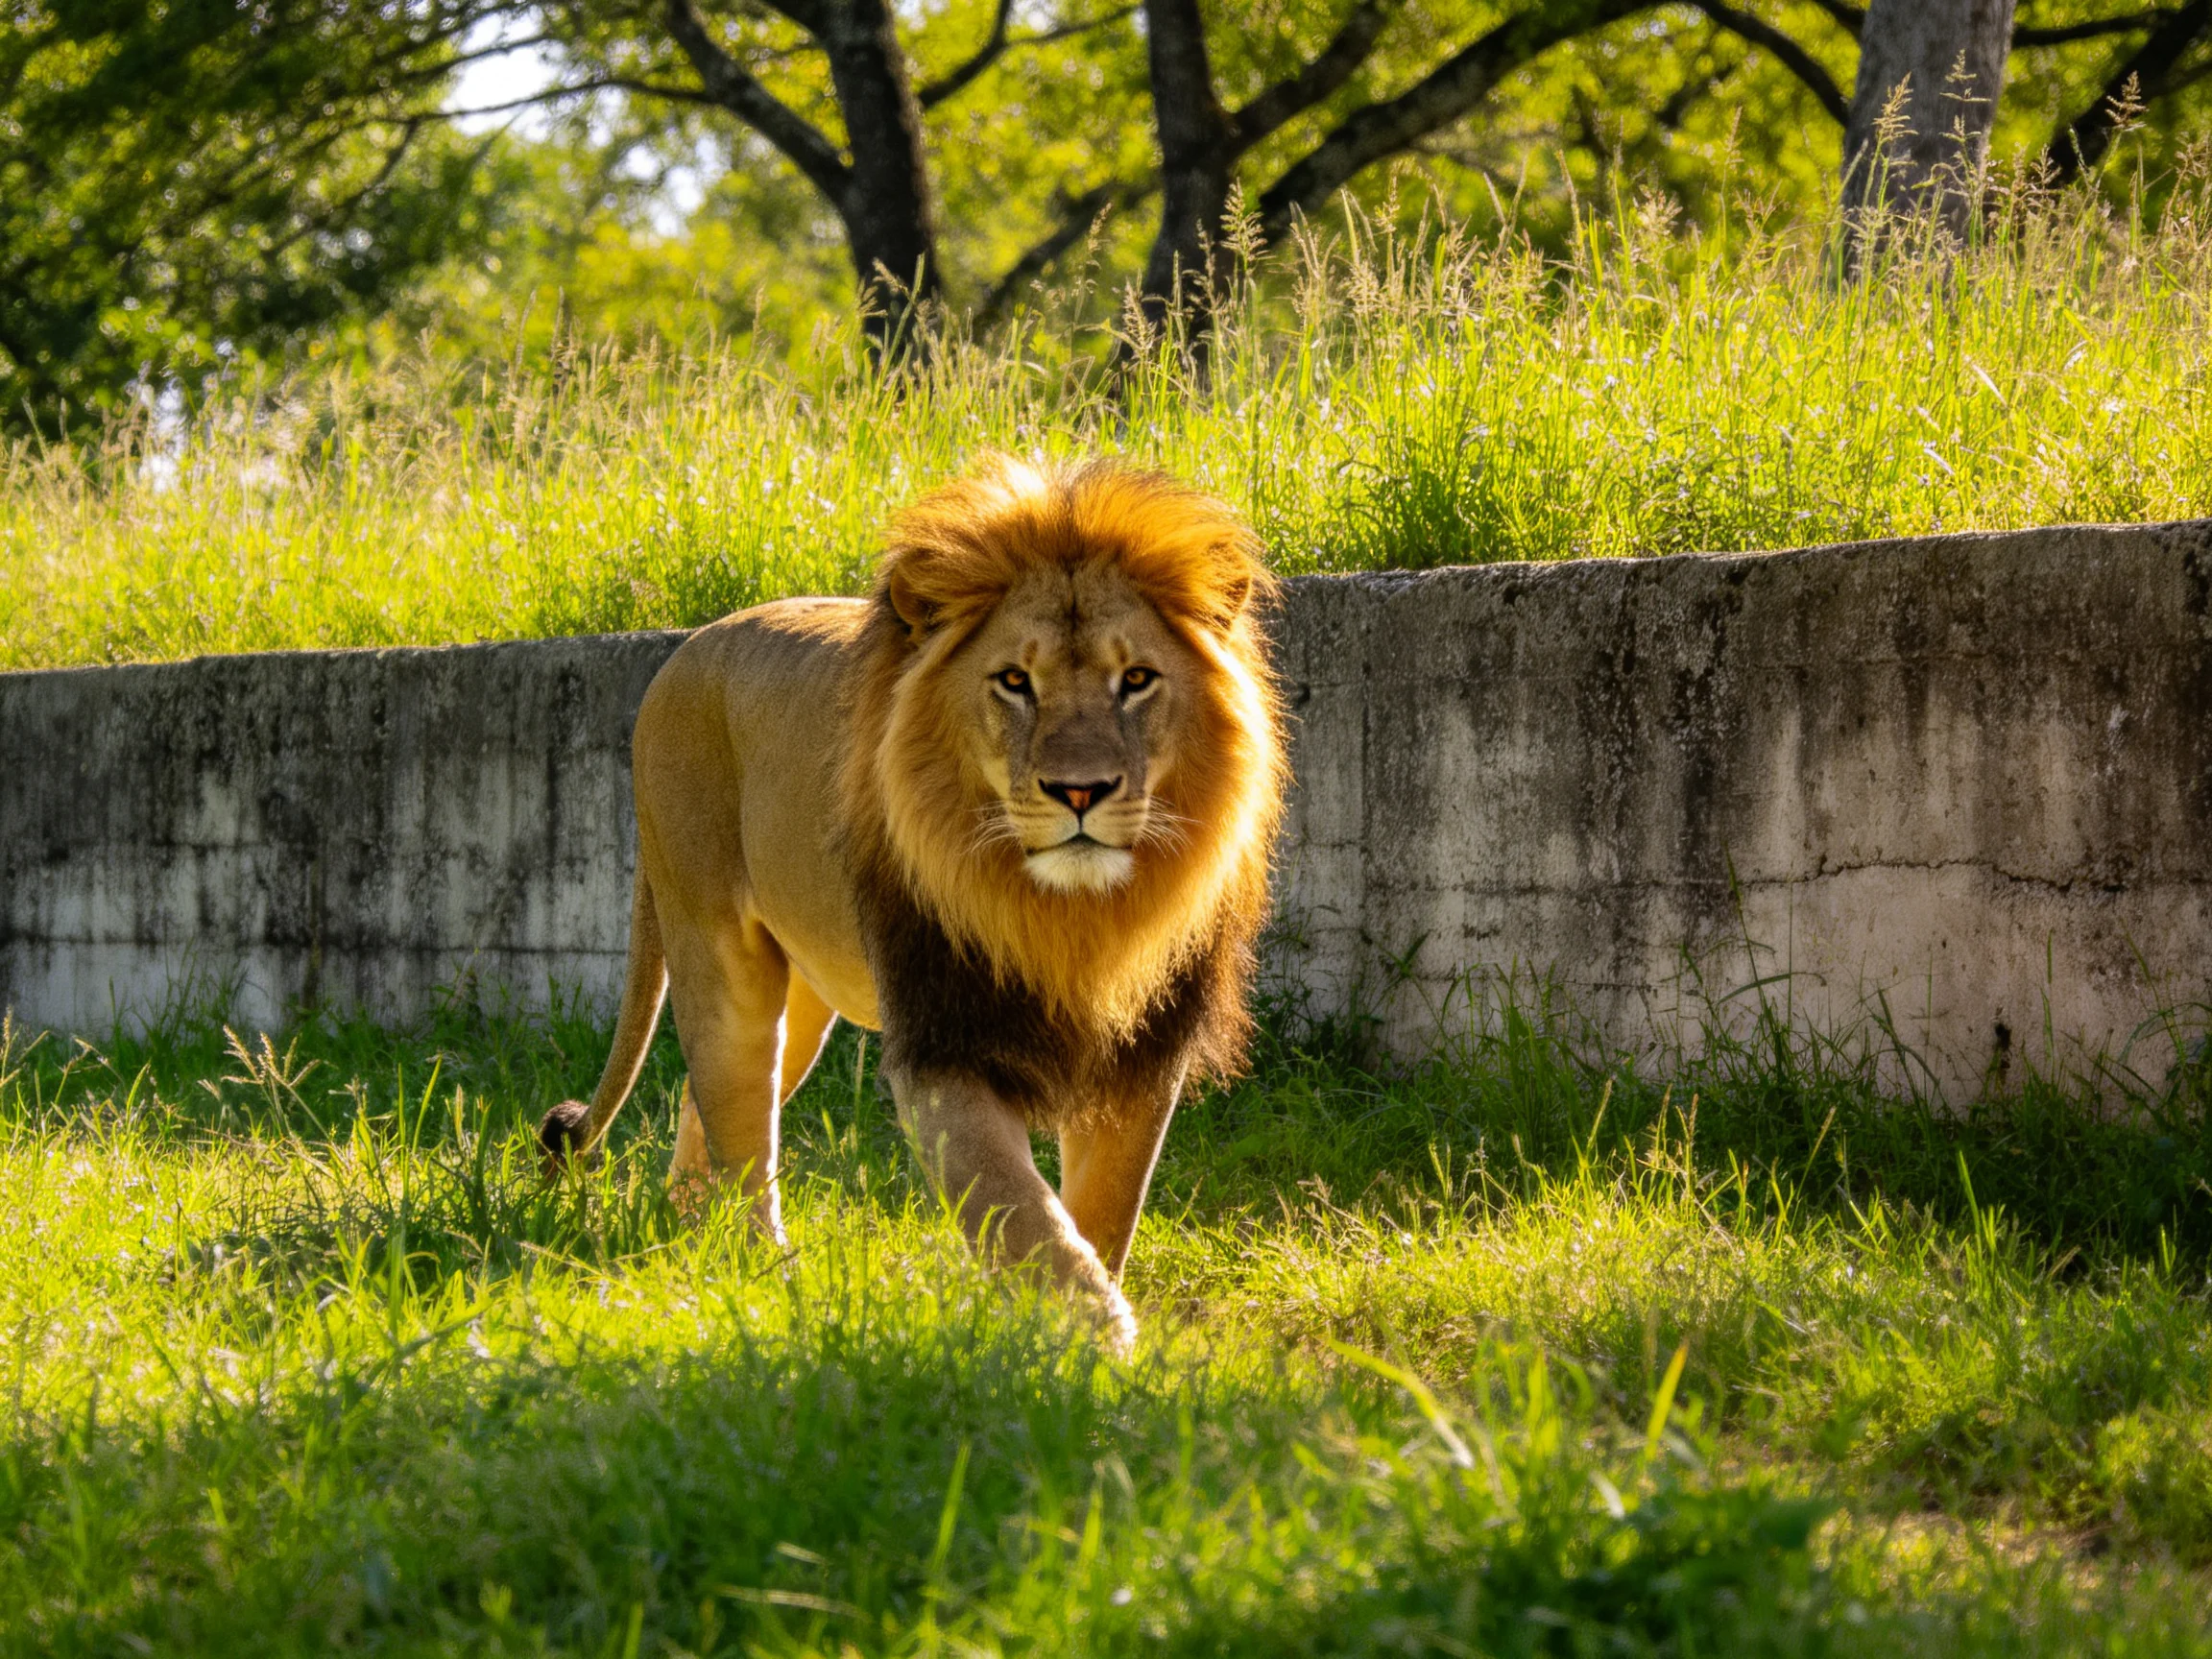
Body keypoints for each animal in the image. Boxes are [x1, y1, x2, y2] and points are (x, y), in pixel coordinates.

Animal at [538, 456, 1285, 1352]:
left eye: (1135, 680)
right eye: (1014, 682)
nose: (1080, 791)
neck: (1071, 916)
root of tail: (681, 652)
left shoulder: (1144, 1050)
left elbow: (1103, 1211)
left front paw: (1082, 1333)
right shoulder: (942, 1039)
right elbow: (1013, 1202)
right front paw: (1091, 1327)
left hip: (807, 992)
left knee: (703, 1100)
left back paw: (693, 1236)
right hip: (718, 949)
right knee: (736, 1114)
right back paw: (759, 1271)